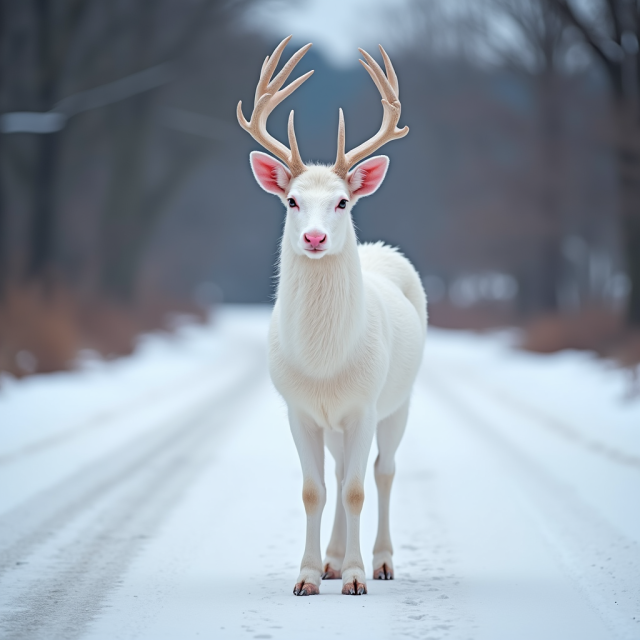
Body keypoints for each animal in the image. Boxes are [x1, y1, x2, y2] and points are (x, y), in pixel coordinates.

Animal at [238, 35, 428, 596]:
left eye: (343, 201)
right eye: (291, 200)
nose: (315, 237)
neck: (324, 364)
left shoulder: (364, 404)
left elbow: (356, 489)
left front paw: (356, 578)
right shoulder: (299, 408)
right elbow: (314, 490)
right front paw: (306, 575)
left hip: (399, 400)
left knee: (382, 471)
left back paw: (380, 562)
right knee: (343, 470)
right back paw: (332, 559)